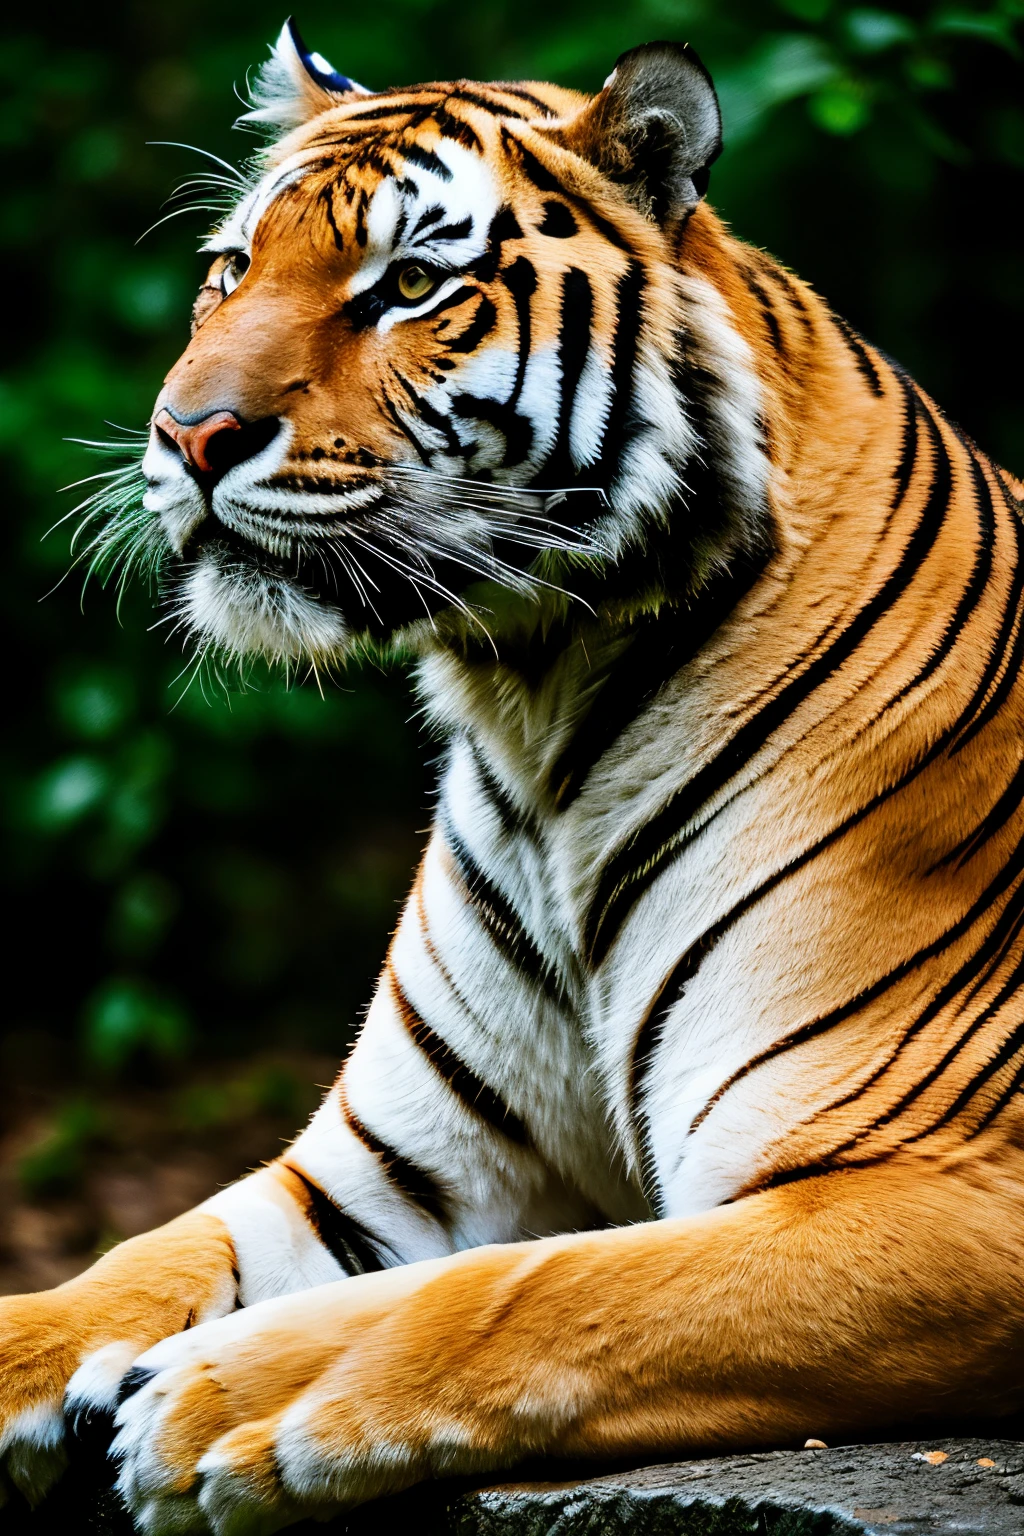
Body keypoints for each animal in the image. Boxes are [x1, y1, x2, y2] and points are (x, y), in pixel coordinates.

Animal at [2, 18, 1024, 1529]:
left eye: (411, 286)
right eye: (232, 269)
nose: (188, 435)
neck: (540, 708)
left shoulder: (929, 1179)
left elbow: (539, 1292)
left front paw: (232, 1402)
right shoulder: (383, 1166)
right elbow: (132, 1265)